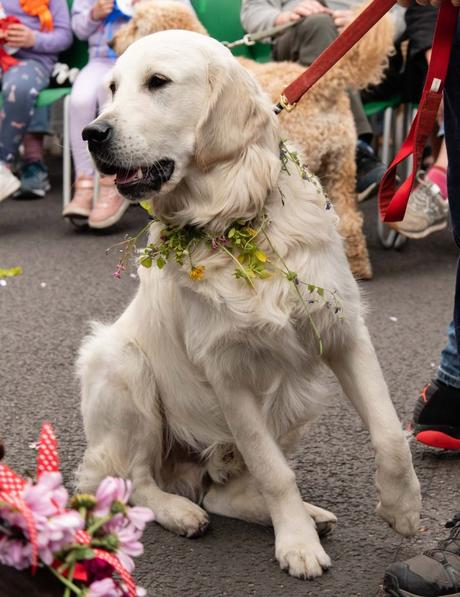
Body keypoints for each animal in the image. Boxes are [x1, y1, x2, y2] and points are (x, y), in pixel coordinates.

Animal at [77, 29, 422, 576]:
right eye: (111, 87)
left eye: (157, 82)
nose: (92, 133)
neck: (235, 220)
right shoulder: (227, 373)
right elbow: (274, 470)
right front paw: (297, 544)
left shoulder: (345, 333)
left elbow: (389, 432)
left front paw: (402, 508)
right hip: (122, 364)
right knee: (133, 480)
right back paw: (181, 512)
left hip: (292, 401)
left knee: (219, 492)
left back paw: (308, 513)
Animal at [111, 1, 392, 280]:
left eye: (135, 24)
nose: (112, 42)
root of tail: (326, 85)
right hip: (340, 167)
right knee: (349, 220)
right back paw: (357, 266)